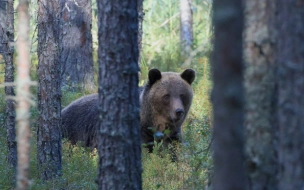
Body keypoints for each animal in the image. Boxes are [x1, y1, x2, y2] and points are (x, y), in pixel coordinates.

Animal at [61, 68, 197, 150]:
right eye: (167, 95)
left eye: (182, 95)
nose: (179, 111)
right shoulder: (141, 132)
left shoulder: (173, 134)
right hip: (74, 131)